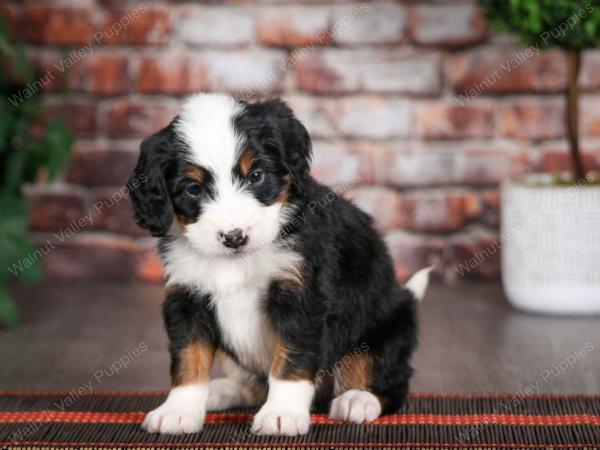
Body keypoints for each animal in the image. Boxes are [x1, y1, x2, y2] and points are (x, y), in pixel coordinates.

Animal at [127, 94, 426, 436]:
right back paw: (222, 390)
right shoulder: (186, 296)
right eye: (193, 189)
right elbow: (188, 358)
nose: (234, 237)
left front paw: (282, 414)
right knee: (254, 384)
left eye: (256, 176)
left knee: (388, 380)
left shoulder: (301, 293)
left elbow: (290, 360)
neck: (237, 262)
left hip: (388, 326)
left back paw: (358, 399)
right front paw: (178, 411)